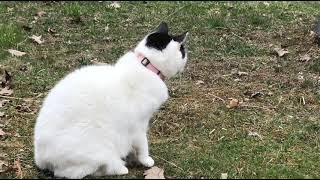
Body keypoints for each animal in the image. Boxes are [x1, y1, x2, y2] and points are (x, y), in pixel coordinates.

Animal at [33, 22, 188, 179]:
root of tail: (42, 160)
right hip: (97, 151)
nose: (187, 57)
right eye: (182, 50)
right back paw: (120, 168)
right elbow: (143, 146)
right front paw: (146, 161)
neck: (146, 65)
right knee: (77, 172)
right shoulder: (139, 126)